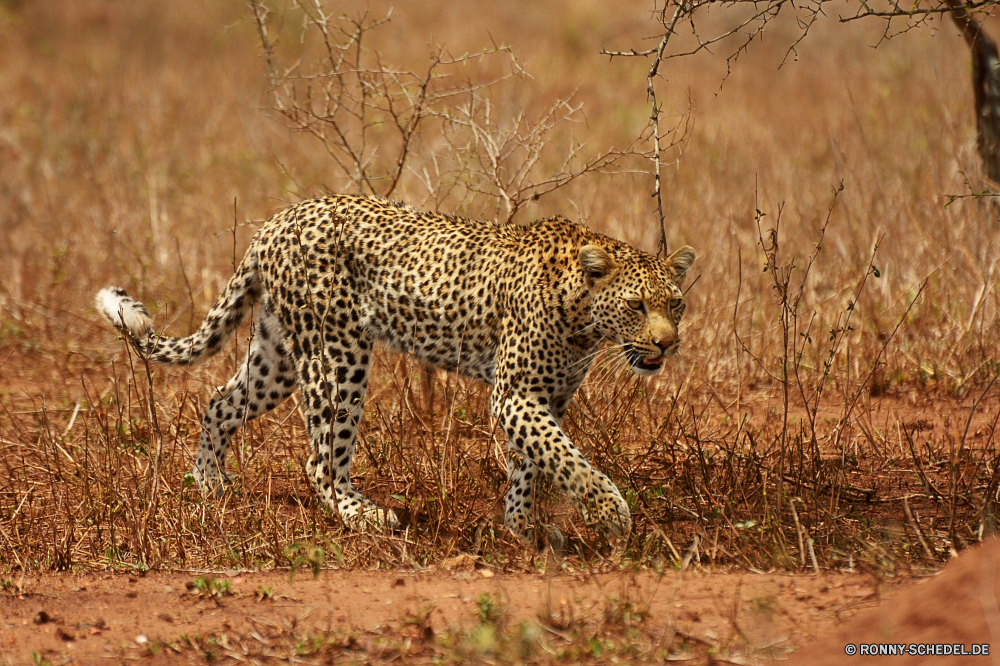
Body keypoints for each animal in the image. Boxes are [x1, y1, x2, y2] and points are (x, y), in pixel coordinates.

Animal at [99, 195, 696, 548]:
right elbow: (565, 457)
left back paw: (210, 484)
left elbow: (533, 460)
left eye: (676, 304)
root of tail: (278, 218)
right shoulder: (515, 394)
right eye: (638, 306)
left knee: (220, 402)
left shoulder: (546, 396)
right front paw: (611, 514)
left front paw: (522, 526)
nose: (667, 344)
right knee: (320, 459)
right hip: (336, 354)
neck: (585, 322)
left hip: (279, 354)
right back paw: (364, 517)